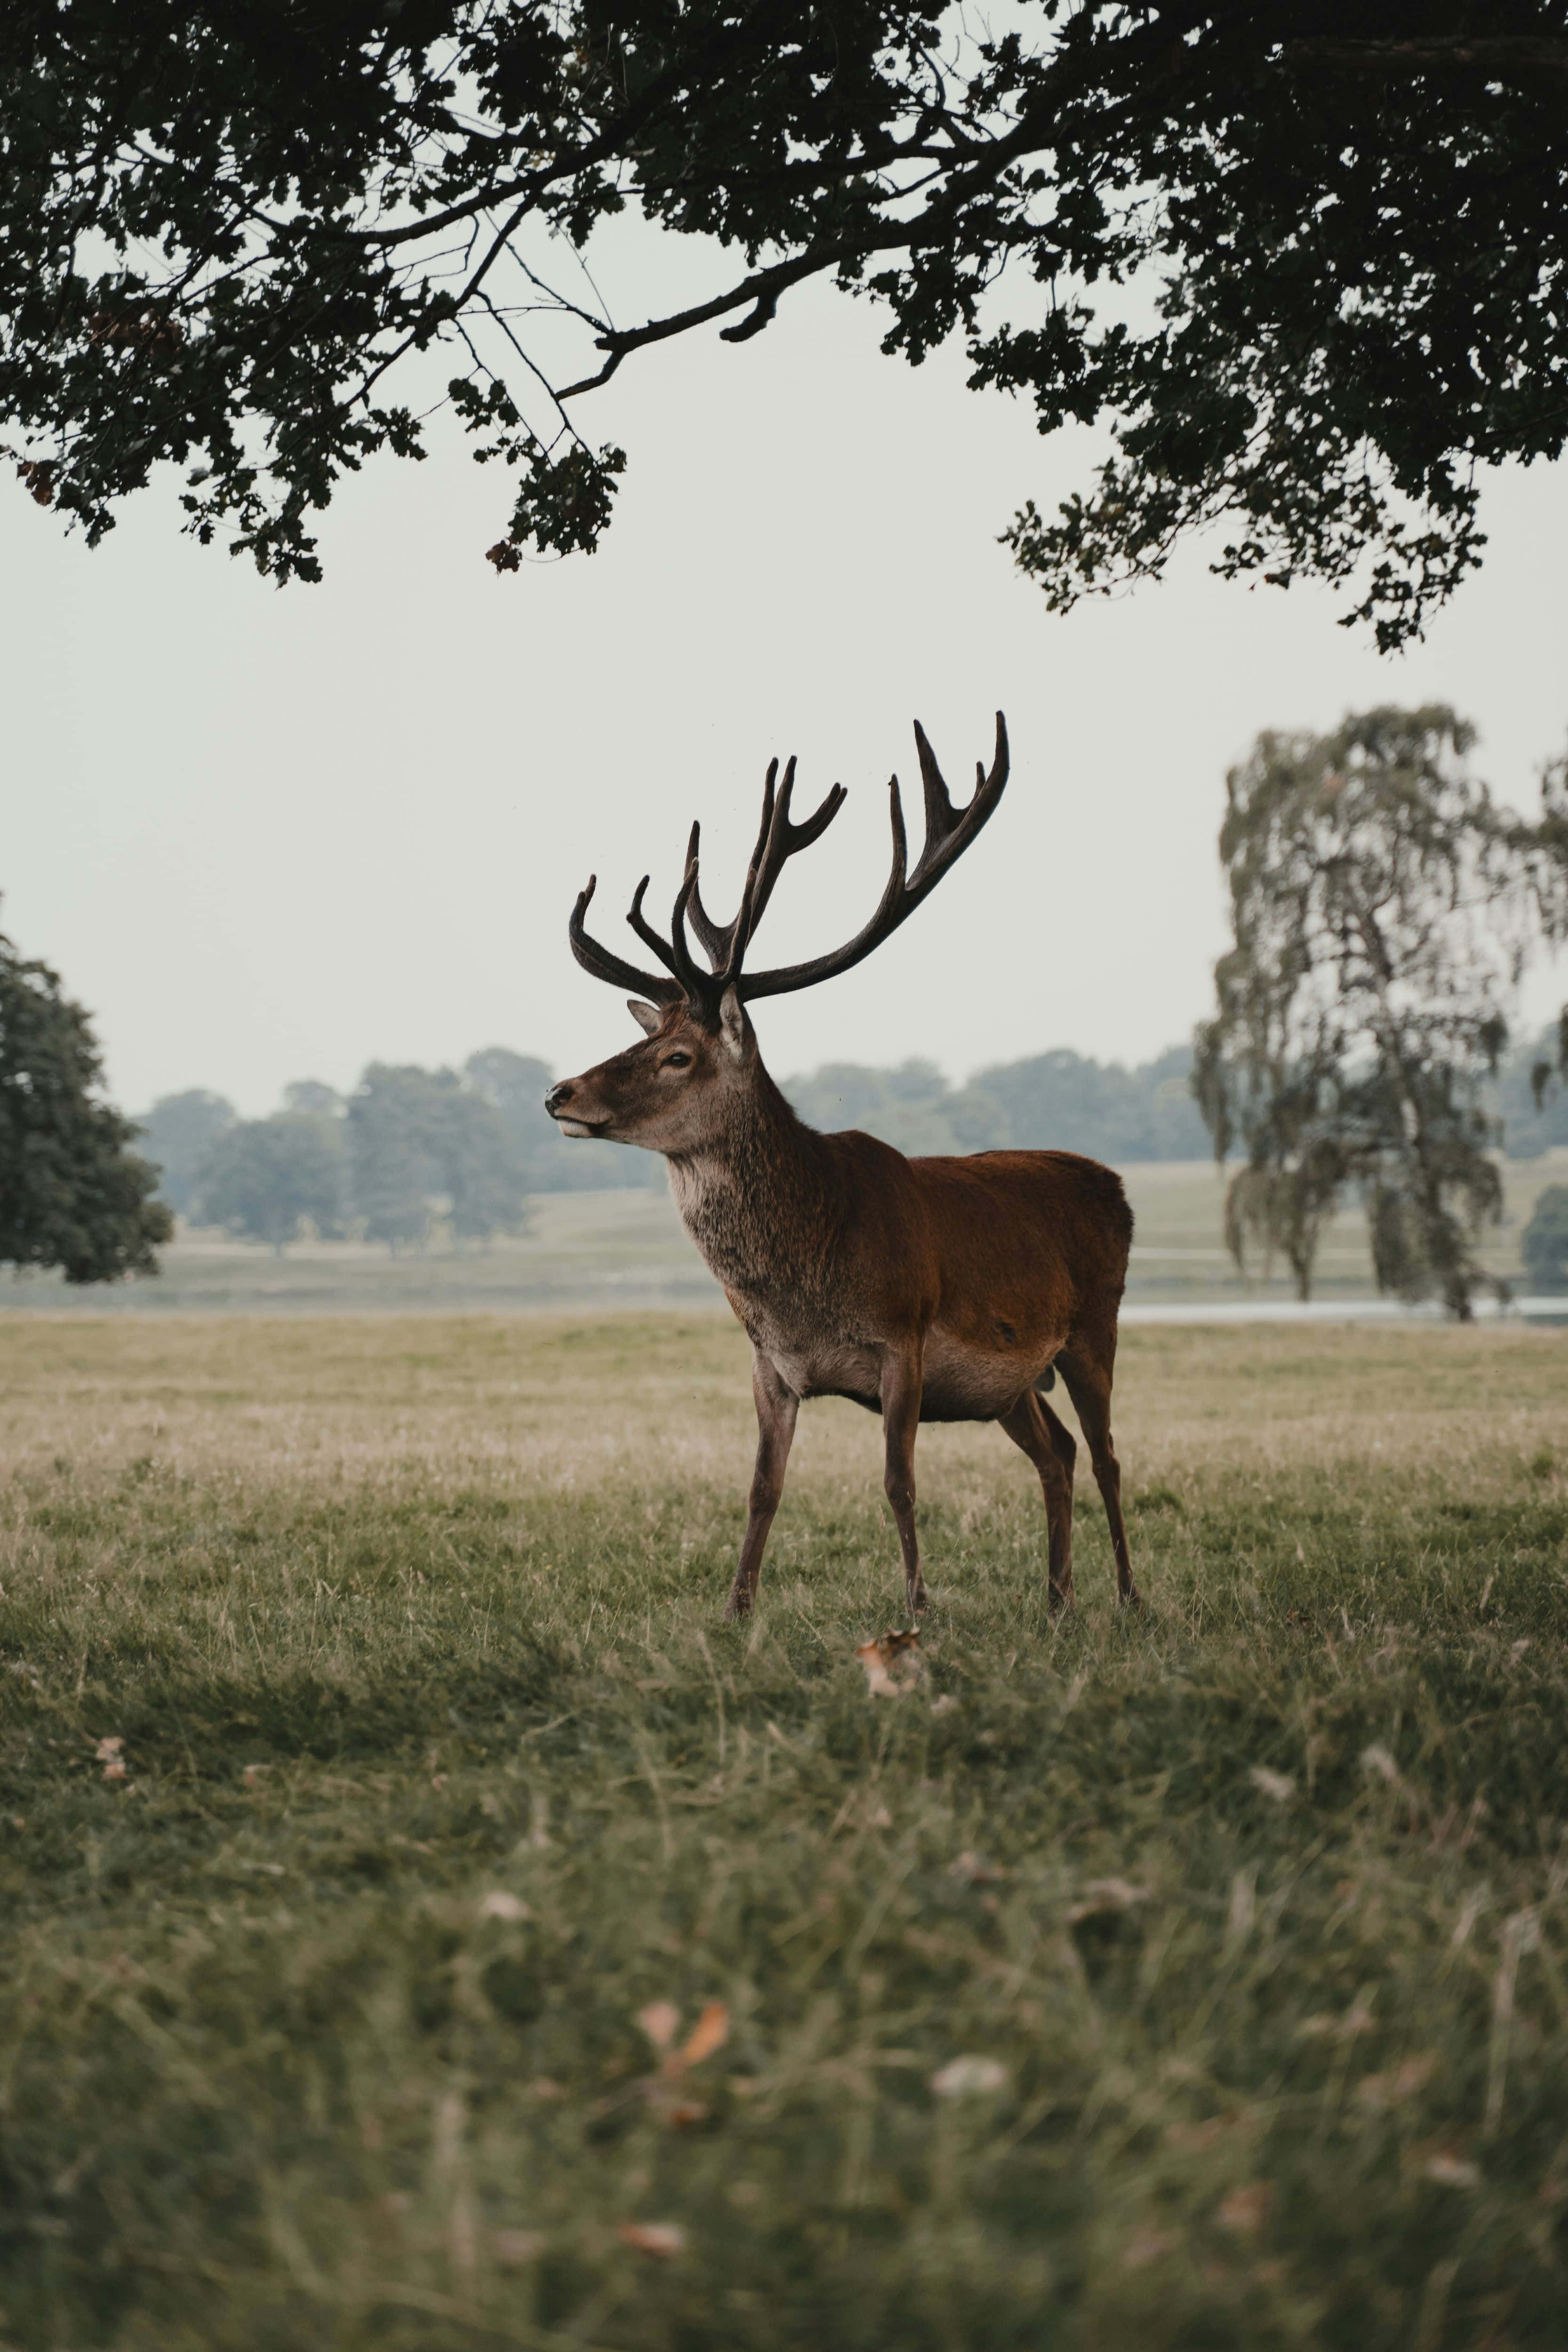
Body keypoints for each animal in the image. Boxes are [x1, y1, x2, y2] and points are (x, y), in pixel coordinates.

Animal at [544, 713, 1140, 1625]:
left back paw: (1129, 1597)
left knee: (1107, 1453)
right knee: (1060, 1452)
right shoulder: (770, 1364)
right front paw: (735, 1611)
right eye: (642, 1038)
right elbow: (761, 1488)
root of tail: (1115, 1186)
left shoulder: (904, 1338)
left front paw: (918, 1608)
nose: (560, 1092)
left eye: (678, 1056)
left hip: (1093, 1324)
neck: (806, 1277)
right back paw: (1055, 1601)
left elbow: (898, 1483)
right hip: (1010, 1385)